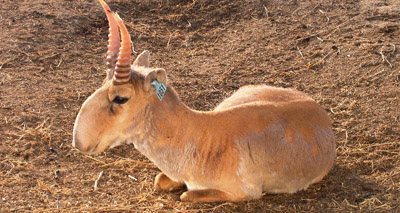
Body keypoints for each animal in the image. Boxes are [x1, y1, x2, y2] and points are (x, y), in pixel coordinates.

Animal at [72, 0, 334, 202]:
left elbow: (186, 194)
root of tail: (319, 111)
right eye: (102, 82)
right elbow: (160, 180)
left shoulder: (243, 193)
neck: (200, 135)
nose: (79, 141)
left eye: (121, 97)